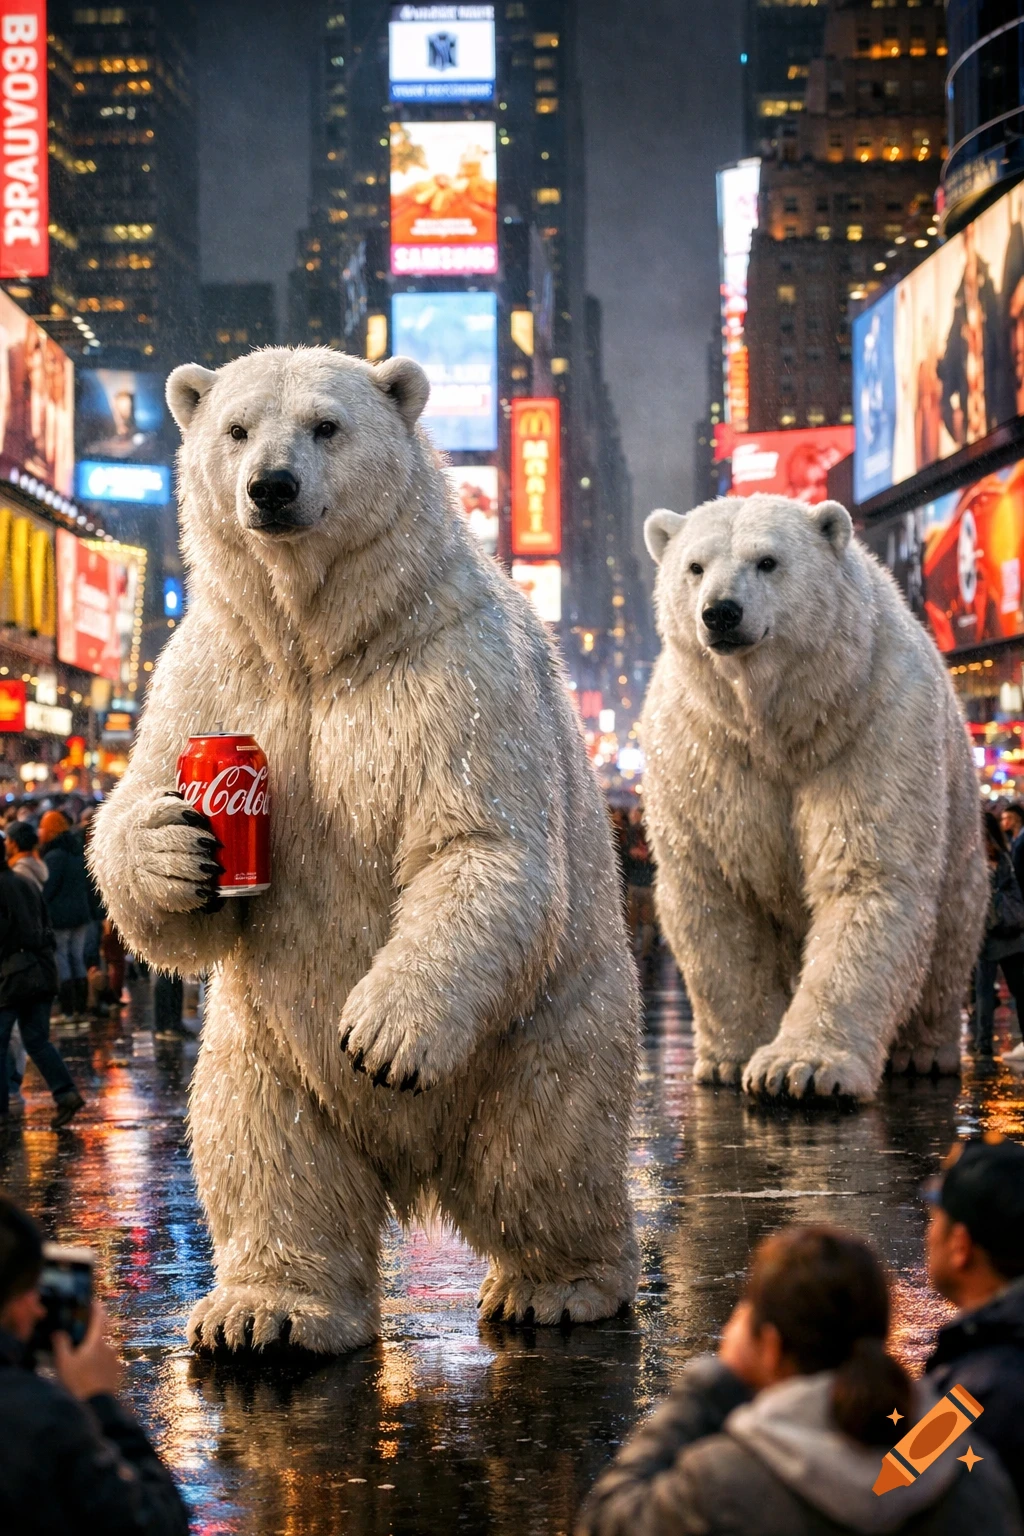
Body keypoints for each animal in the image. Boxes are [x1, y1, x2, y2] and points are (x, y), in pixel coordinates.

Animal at [89, 346, 640, 1352]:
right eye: (236, 428)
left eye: (326, 425)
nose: (270, 487)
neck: (323, 642)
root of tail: (415, 1175)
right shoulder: (214, 672)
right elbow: (148, 820)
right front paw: (172, 850)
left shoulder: (456, 670)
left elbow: (476, 840)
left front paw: (383, 1035)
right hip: (262, 1049)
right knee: (264, 1149)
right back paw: (264, 1311)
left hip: (547, 1020)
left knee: (547, 1148)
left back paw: (559, 1286)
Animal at [640, 492, 986, 1102]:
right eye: (695, 566)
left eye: (768, 561)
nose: (721, 613)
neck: (786, 726)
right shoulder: (702, 757)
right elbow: (715, 893)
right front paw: (731, 1058)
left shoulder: (875, 727)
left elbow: (866, 875)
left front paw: (798, 1069)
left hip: (961, 833)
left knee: (948, 942)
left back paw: (923, 1052)